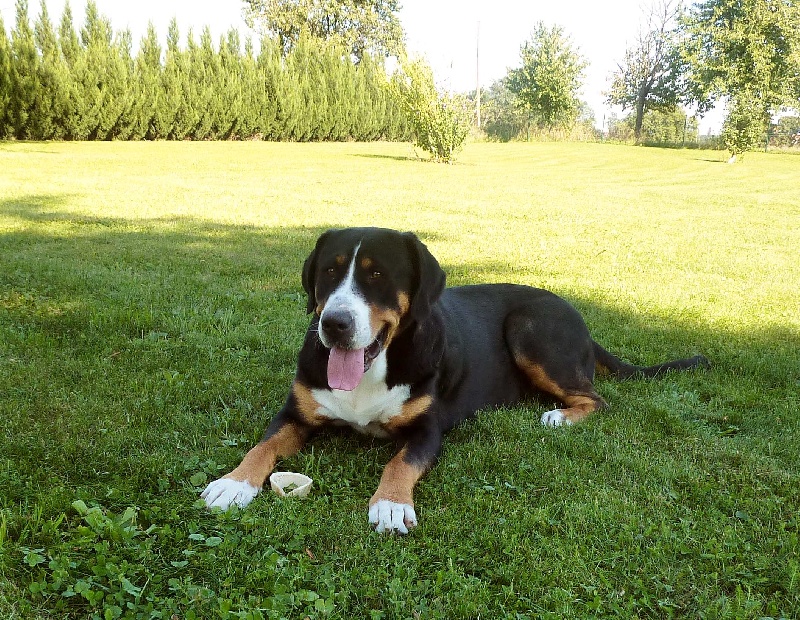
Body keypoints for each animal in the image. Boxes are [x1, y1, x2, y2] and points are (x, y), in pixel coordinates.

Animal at [202, 228, 708, 532]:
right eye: (329, 271)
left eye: (378, 275)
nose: (334, 324)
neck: (372, 371)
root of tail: (571, 309)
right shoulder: (296, 412)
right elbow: (262, 446)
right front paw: (234, 483)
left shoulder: (428, 428)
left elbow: (399, 463)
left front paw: (391, 504)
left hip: (529, 329)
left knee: (597, 400)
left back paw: (559, 417)